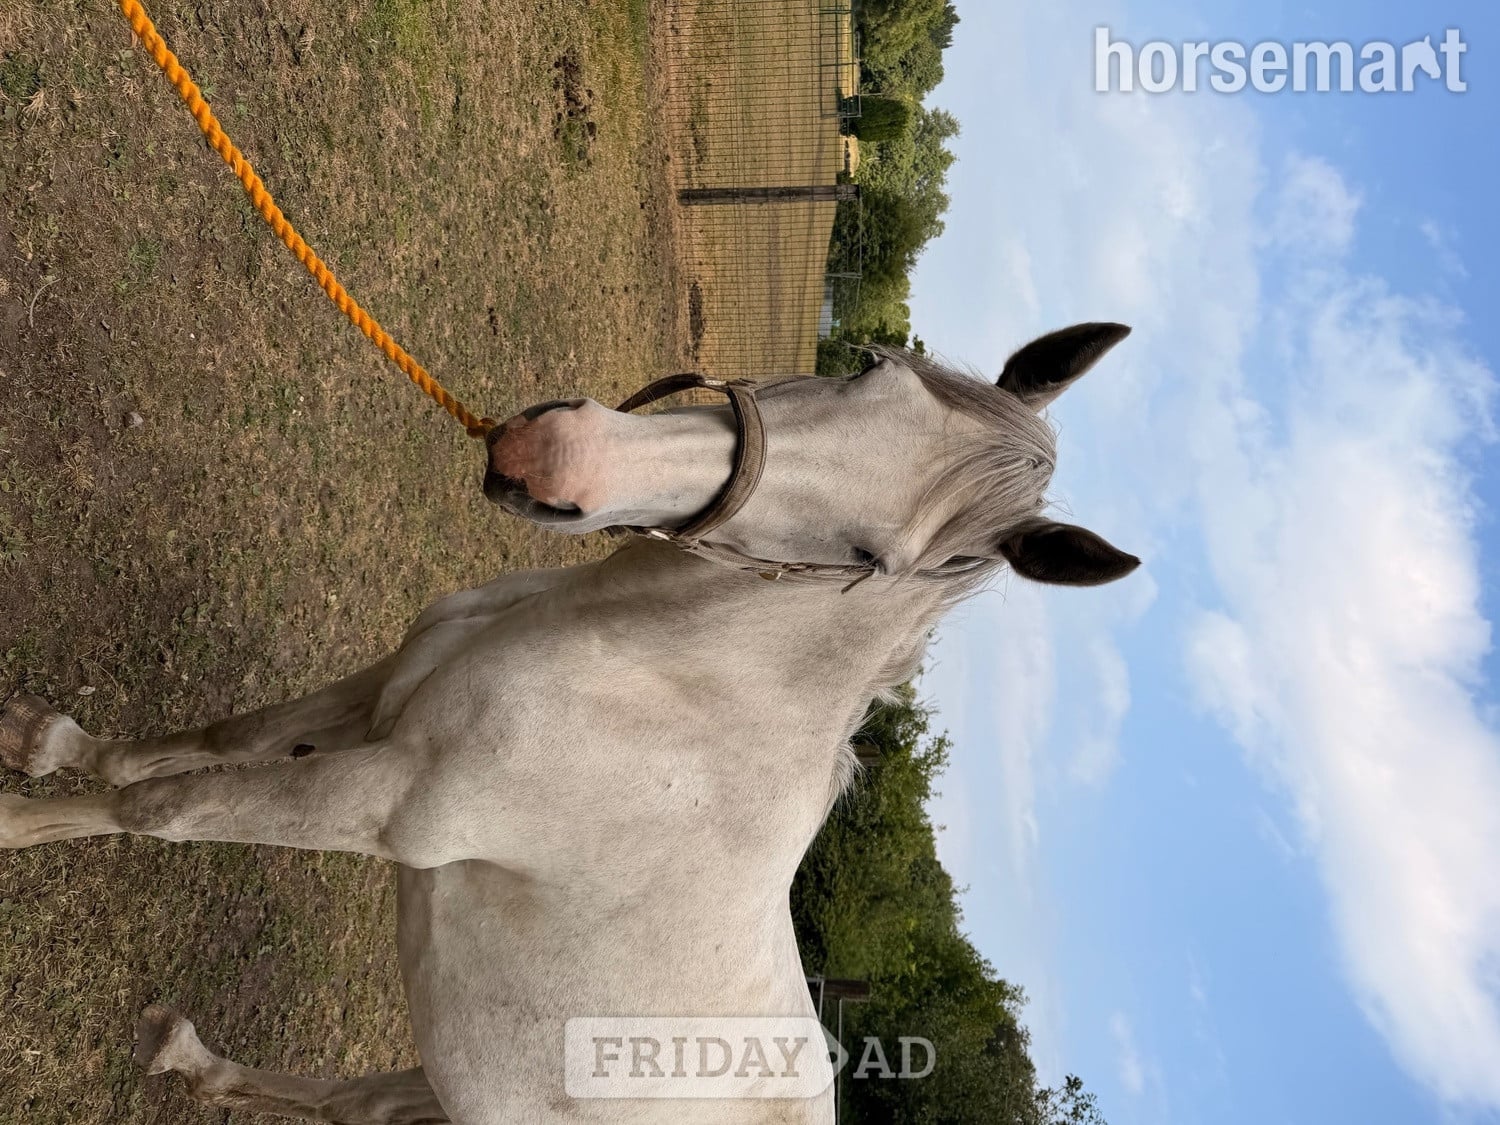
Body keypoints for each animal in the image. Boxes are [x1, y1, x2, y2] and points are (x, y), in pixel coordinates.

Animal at [0, 323, 1140, 1124]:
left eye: (873, 560)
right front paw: (44, 744)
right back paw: (187, 1060)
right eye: (868, 368)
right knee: (362, 1101)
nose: (554, 455)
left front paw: (13, 824)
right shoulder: (384, 693)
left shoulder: (385, 803)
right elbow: (211, 743)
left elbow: (165, 808)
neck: (659, 681)